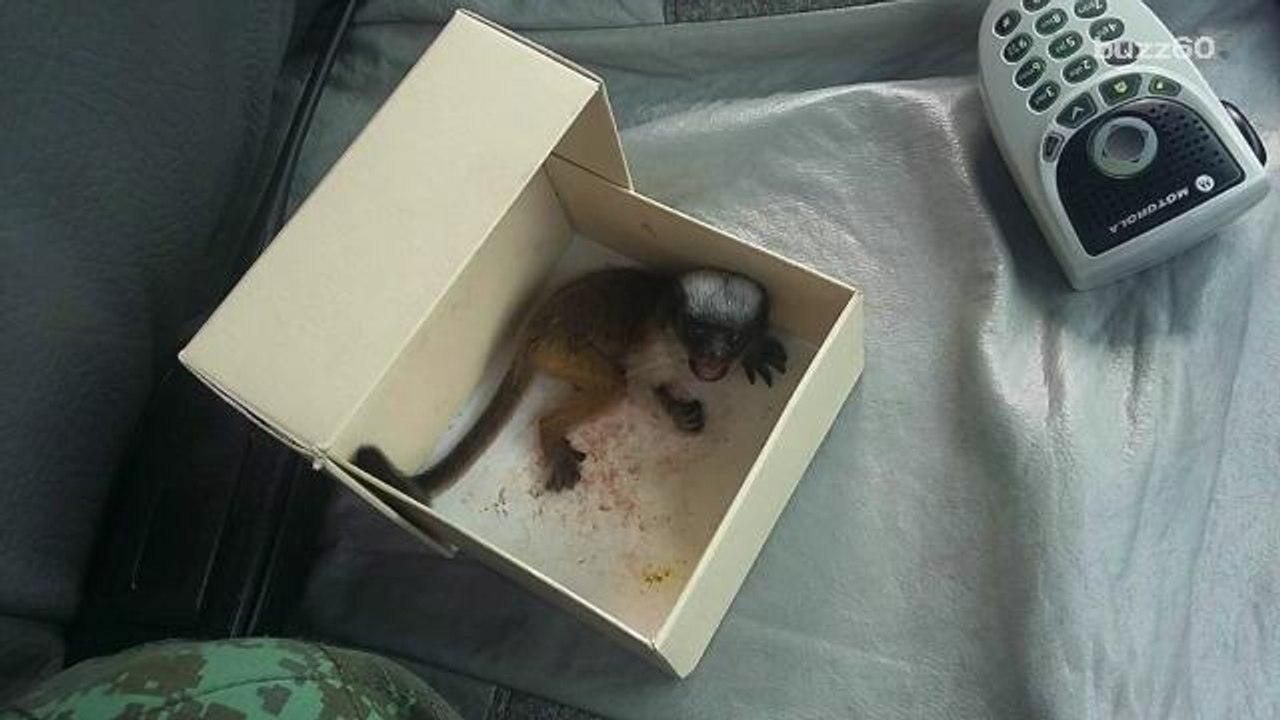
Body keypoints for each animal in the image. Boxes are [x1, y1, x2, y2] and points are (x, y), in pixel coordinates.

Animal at [352, 266, 787, 503]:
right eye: (697, 331)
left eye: (731, 338)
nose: (714, 355)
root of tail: (531, 330)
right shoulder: (654, 346)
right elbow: (640, 384)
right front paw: (669, 403)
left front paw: (753, 352)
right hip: (560, 348)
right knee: (613, 385)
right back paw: (550, 431)